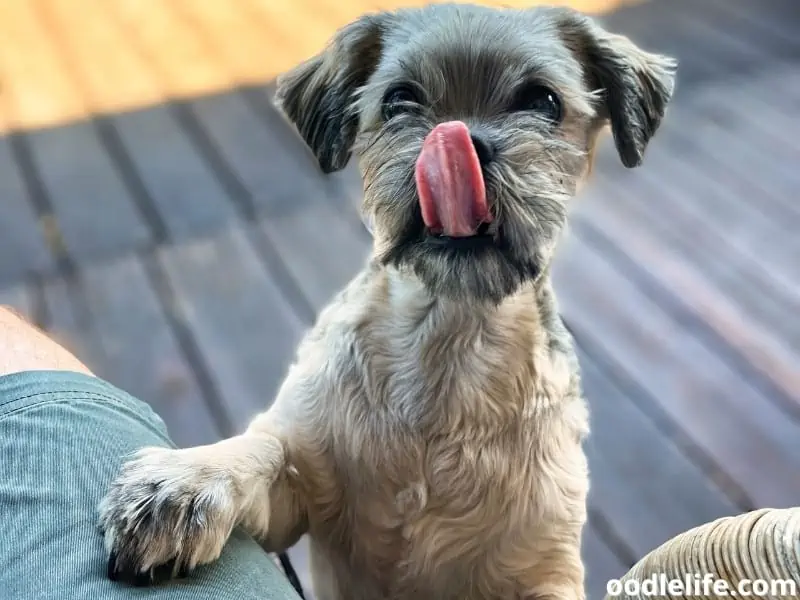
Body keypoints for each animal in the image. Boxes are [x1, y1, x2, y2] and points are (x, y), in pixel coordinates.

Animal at [98, 5, 676, 600]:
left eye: (543, 101)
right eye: (400, 99)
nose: (464, 142)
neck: (449, 334)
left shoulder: (545, 560)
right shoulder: (296, 504)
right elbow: (265, 449)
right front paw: (186, 480)